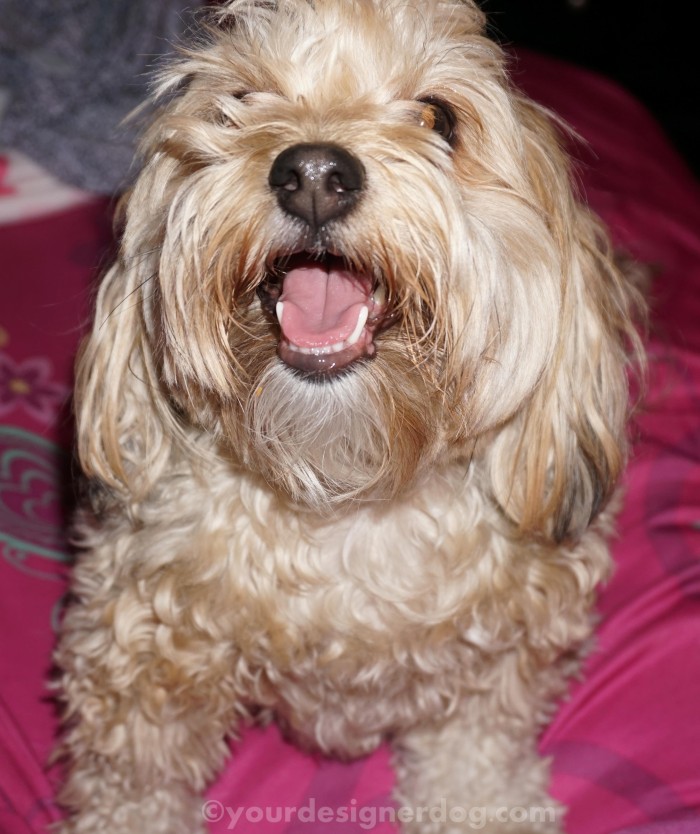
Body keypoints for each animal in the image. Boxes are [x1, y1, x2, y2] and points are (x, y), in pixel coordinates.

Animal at [54, 0, 644, 828]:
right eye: (238, 103)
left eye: (439, 118)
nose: (312, 176)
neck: (344, 489)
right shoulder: (142, 647)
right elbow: (138, 778)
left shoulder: (497, 652)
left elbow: (476, 752)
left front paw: (483, 805)